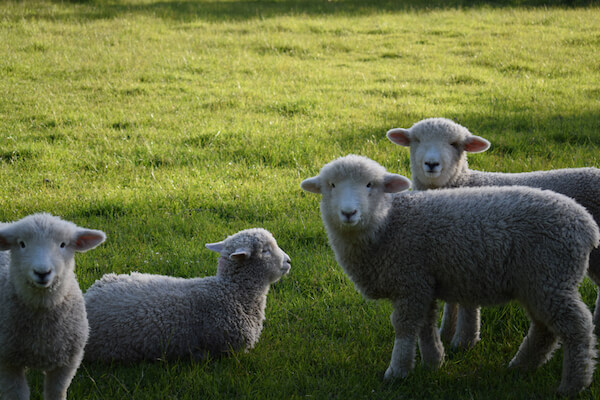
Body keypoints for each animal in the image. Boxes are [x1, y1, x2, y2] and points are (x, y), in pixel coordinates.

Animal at [0, 214, 106, 400]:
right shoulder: (7, 362)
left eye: (62, 244)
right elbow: (17, 394)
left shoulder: (67, 362)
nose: (42, 272)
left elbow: (56, 392)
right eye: (22, 244)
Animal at [302, 155, 596, 396]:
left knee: (577, 326)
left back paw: (573, 384)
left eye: (369, 185)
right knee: (544, 329)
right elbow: (426, 324)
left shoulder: (410, 280)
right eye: (331, 185)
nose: (348, 213)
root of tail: (586, 224)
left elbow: (405, 326)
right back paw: (520, 367)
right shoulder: (424, 282)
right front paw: (434, 361)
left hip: (550, 276)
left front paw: (397, 372)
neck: (388, 224)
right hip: (537, 283)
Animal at [386, 116, 600, 346]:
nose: (432, 164)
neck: (463, 182)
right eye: (416, 140)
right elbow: (451, 301)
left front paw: (463, 341)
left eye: (455, 144)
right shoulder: (446, 255)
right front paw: (446, 333)